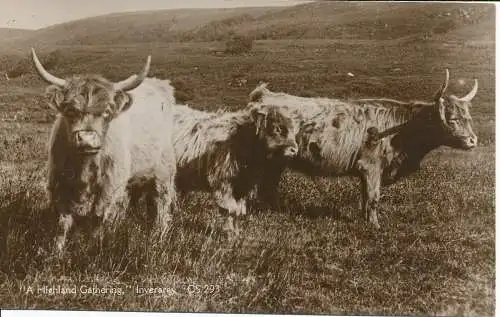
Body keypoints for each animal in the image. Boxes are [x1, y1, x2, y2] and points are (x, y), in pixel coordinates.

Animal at [31, 48, 178, 253]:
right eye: (70, 111)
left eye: (106, 112)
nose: (86, 139)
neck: (84, 164)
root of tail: (160, 86)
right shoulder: (58, 182)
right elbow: (62, 220)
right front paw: (56, 250)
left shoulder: (109, 185)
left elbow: (98, 217)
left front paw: (92, 248)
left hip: (163, 172)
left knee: (160, 204)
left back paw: (158, 237)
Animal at [248, 69, 478, 227]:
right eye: (453, 119)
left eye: (468, 118)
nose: (473, 140)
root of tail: (264, 95)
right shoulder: (371, 166)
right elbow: (374, 197)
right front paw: (375, 226)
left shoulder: (366, 170)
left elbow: (365, 197)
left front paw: (365, 220)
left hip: (277, 161)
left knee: (269, 185)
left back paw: (275, 211)